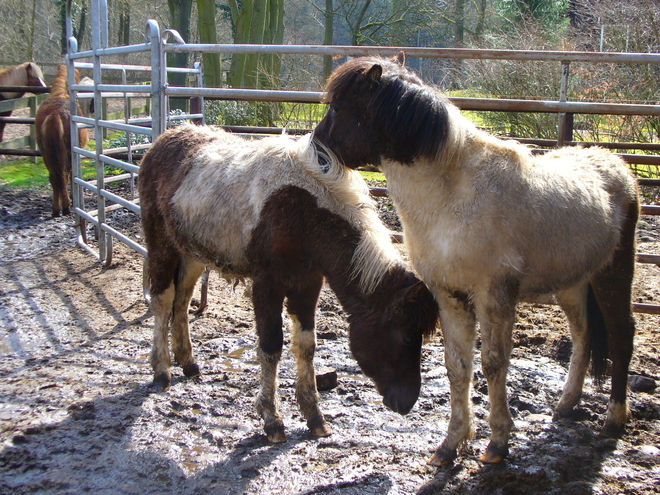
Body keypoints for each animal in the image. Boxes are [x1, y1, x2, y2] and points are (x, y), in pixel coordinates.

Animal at [35, 64, 89, 217]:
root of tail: (55, 114)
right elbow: (71, 175)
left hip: (46, 154)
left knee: (55, 177)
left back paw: (56, 209)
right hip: (67, 153)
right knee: (64, 175)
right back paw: (65, 206)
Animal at [139, 124, 438, 442]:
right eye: (406, 337)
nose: (407, 402)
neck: (303, 212)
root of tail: (163, 140)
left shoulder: (308, 283)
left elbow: (306, 345)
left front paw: (314, 415)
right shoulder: (266, 284)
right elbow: (271, 345)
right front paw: (272, 419)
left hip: (192, 253)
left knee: (182, 301)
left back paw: (188, 363)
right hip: (161, 244)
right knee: (163, 301)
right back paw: (161, 372)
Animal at [314, 53, 640, 464]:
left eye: (338, 108)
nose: (315, 150)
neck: (453, 196)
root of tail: (617, 167)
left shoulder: (493, 295)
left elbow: (493, 363)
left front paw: (497, 443)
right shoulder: (448, 294)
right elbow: (457, 366)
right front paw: (450, 445)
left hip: (613, 275)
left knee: (621, 335)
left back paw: (614, 419)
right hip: (572, 284)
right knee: (582, 335)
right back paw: (566, 405)